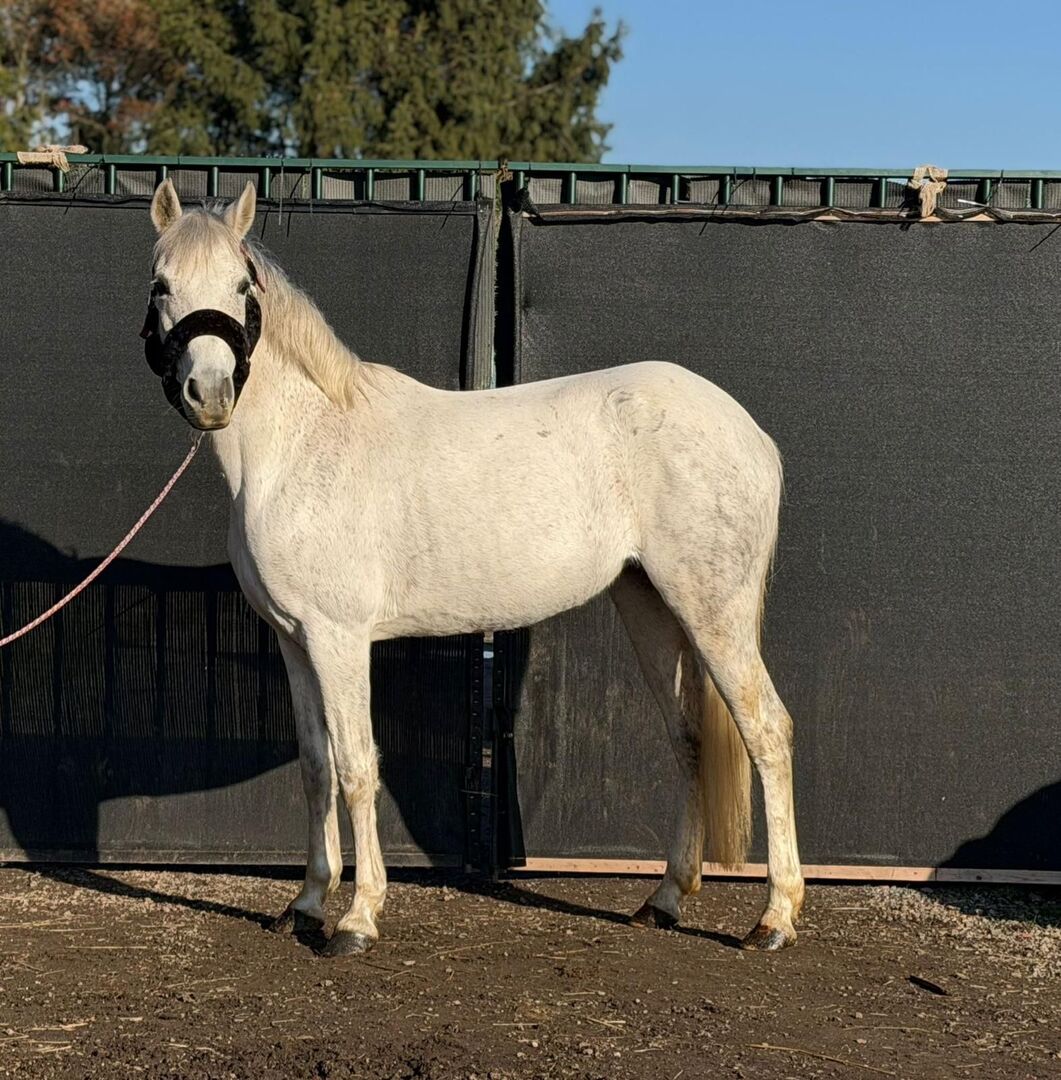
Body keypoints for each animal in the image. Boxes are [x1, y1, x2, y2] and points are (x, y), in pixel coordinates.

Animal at [142, 179, 804, 957]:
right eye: (161, 286)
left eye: (243, 288)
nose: (210, 395)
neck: (299, 445)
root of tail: (749, 432)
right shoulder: (294, 641)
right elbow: (314, 767)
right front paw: (304, 904)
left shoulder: (339, 639)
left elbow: (356, 767)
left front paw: (357, 919)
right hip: (649, 606)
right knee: (687, 737)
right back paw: (664, 899)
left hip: (714, 611)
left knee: (767, 731)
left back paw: (775, 918)